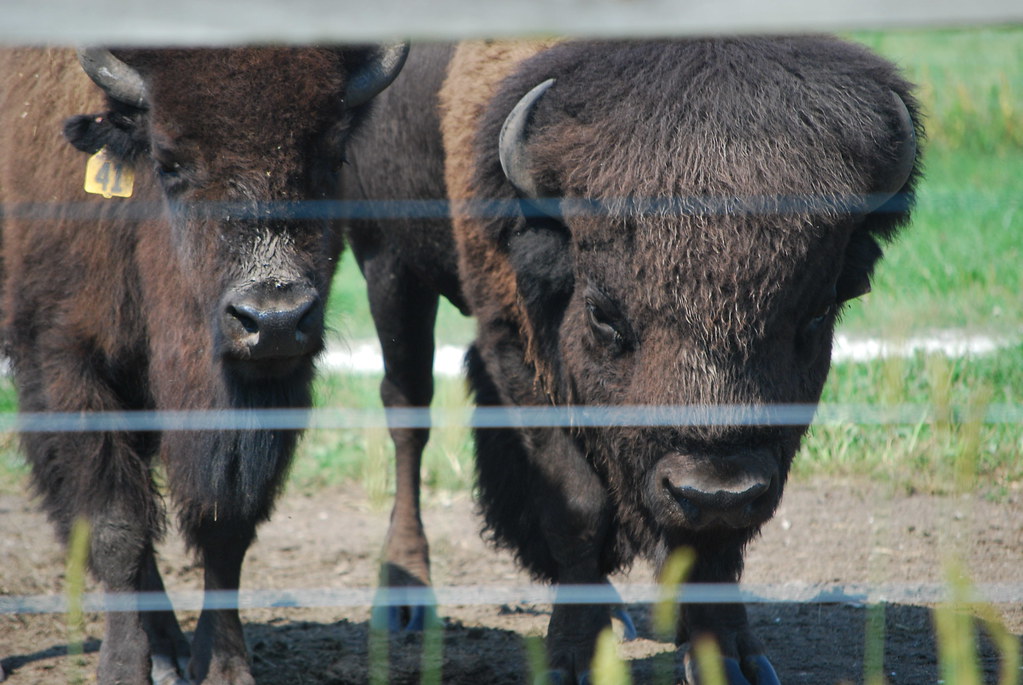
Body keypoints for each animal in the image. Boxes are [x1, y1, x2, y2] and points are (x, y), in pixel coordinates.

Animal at [0, 45, 406, 684]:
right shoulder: (66, 364)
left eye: (331, 157)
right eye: (169, 163)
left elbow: (225, 530)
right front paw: (123, 667)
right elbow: (115, 525)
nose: (272, 319)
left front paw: (224, 666)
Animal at [343, 38, 920, 683]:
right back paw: (404, 603)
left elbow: (714, 547)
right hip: (388, 264)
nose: (715, 490)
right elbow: (576, 504)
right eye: (604, 314)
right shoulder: (514, 349)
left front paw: (729, 659)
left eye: (817, 315)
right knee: (407, 412)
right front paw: (574, 656)